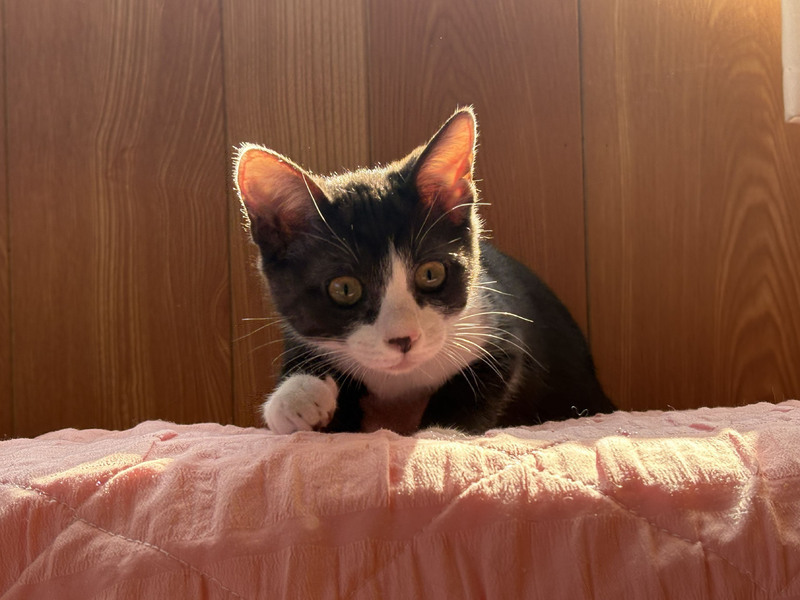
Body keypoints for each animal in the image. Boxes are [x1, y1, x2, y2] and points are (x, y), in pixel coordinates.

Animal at [234, 107, 614, 435]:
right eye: (343, 289)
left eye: (431, 274)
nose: (404, 339)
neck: (401, 382)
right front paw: (296, 398)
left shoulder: (501, 330)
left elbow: (475, 384)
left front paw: (439, 433)